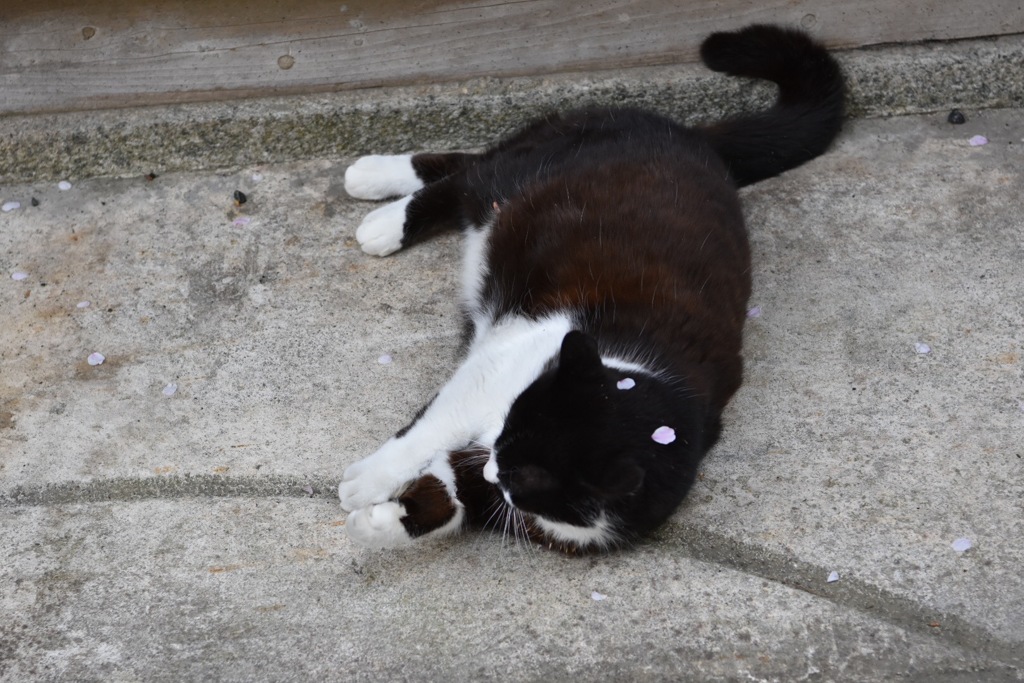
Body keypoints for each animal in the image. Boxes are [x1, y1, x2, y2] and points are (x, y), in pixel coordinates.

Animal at [339, 24, 843, 552]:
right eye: (513, 421)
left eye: (520, 474)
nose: (496, 458)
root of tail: (689, 135)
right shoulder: (499, 365)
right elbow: (435, 425)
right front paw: (368, 480)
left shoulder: (504, 489)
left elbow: (451, 494)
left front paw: (380, 523)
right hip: (537, 163)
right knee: (471, 177)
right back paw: (380, 202)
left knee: (469, 167)